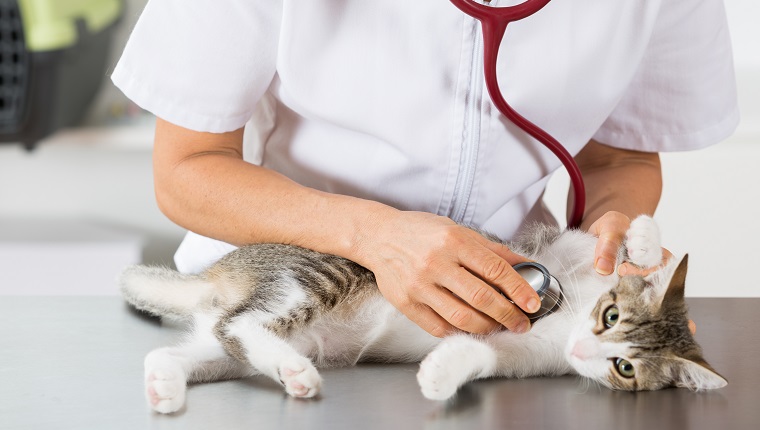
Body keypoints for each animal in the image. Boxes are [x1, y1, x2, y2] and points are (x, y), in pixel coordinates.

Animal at [119, 215, 724, 414]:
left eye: (627, 368)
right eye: (611, 316)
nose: (586, 348)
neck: (562, 319)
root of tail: (222, 272)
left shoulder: (521, 354)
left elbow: (480, 352)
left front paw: (440, 374)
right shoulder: (555, 250)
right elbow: (601, 242)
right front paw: (640, 240)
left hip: (232, 346)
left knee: (198, 343)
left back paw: (166, 385)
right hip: (315, 277)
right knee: (240, 323)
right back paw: (295, 372)